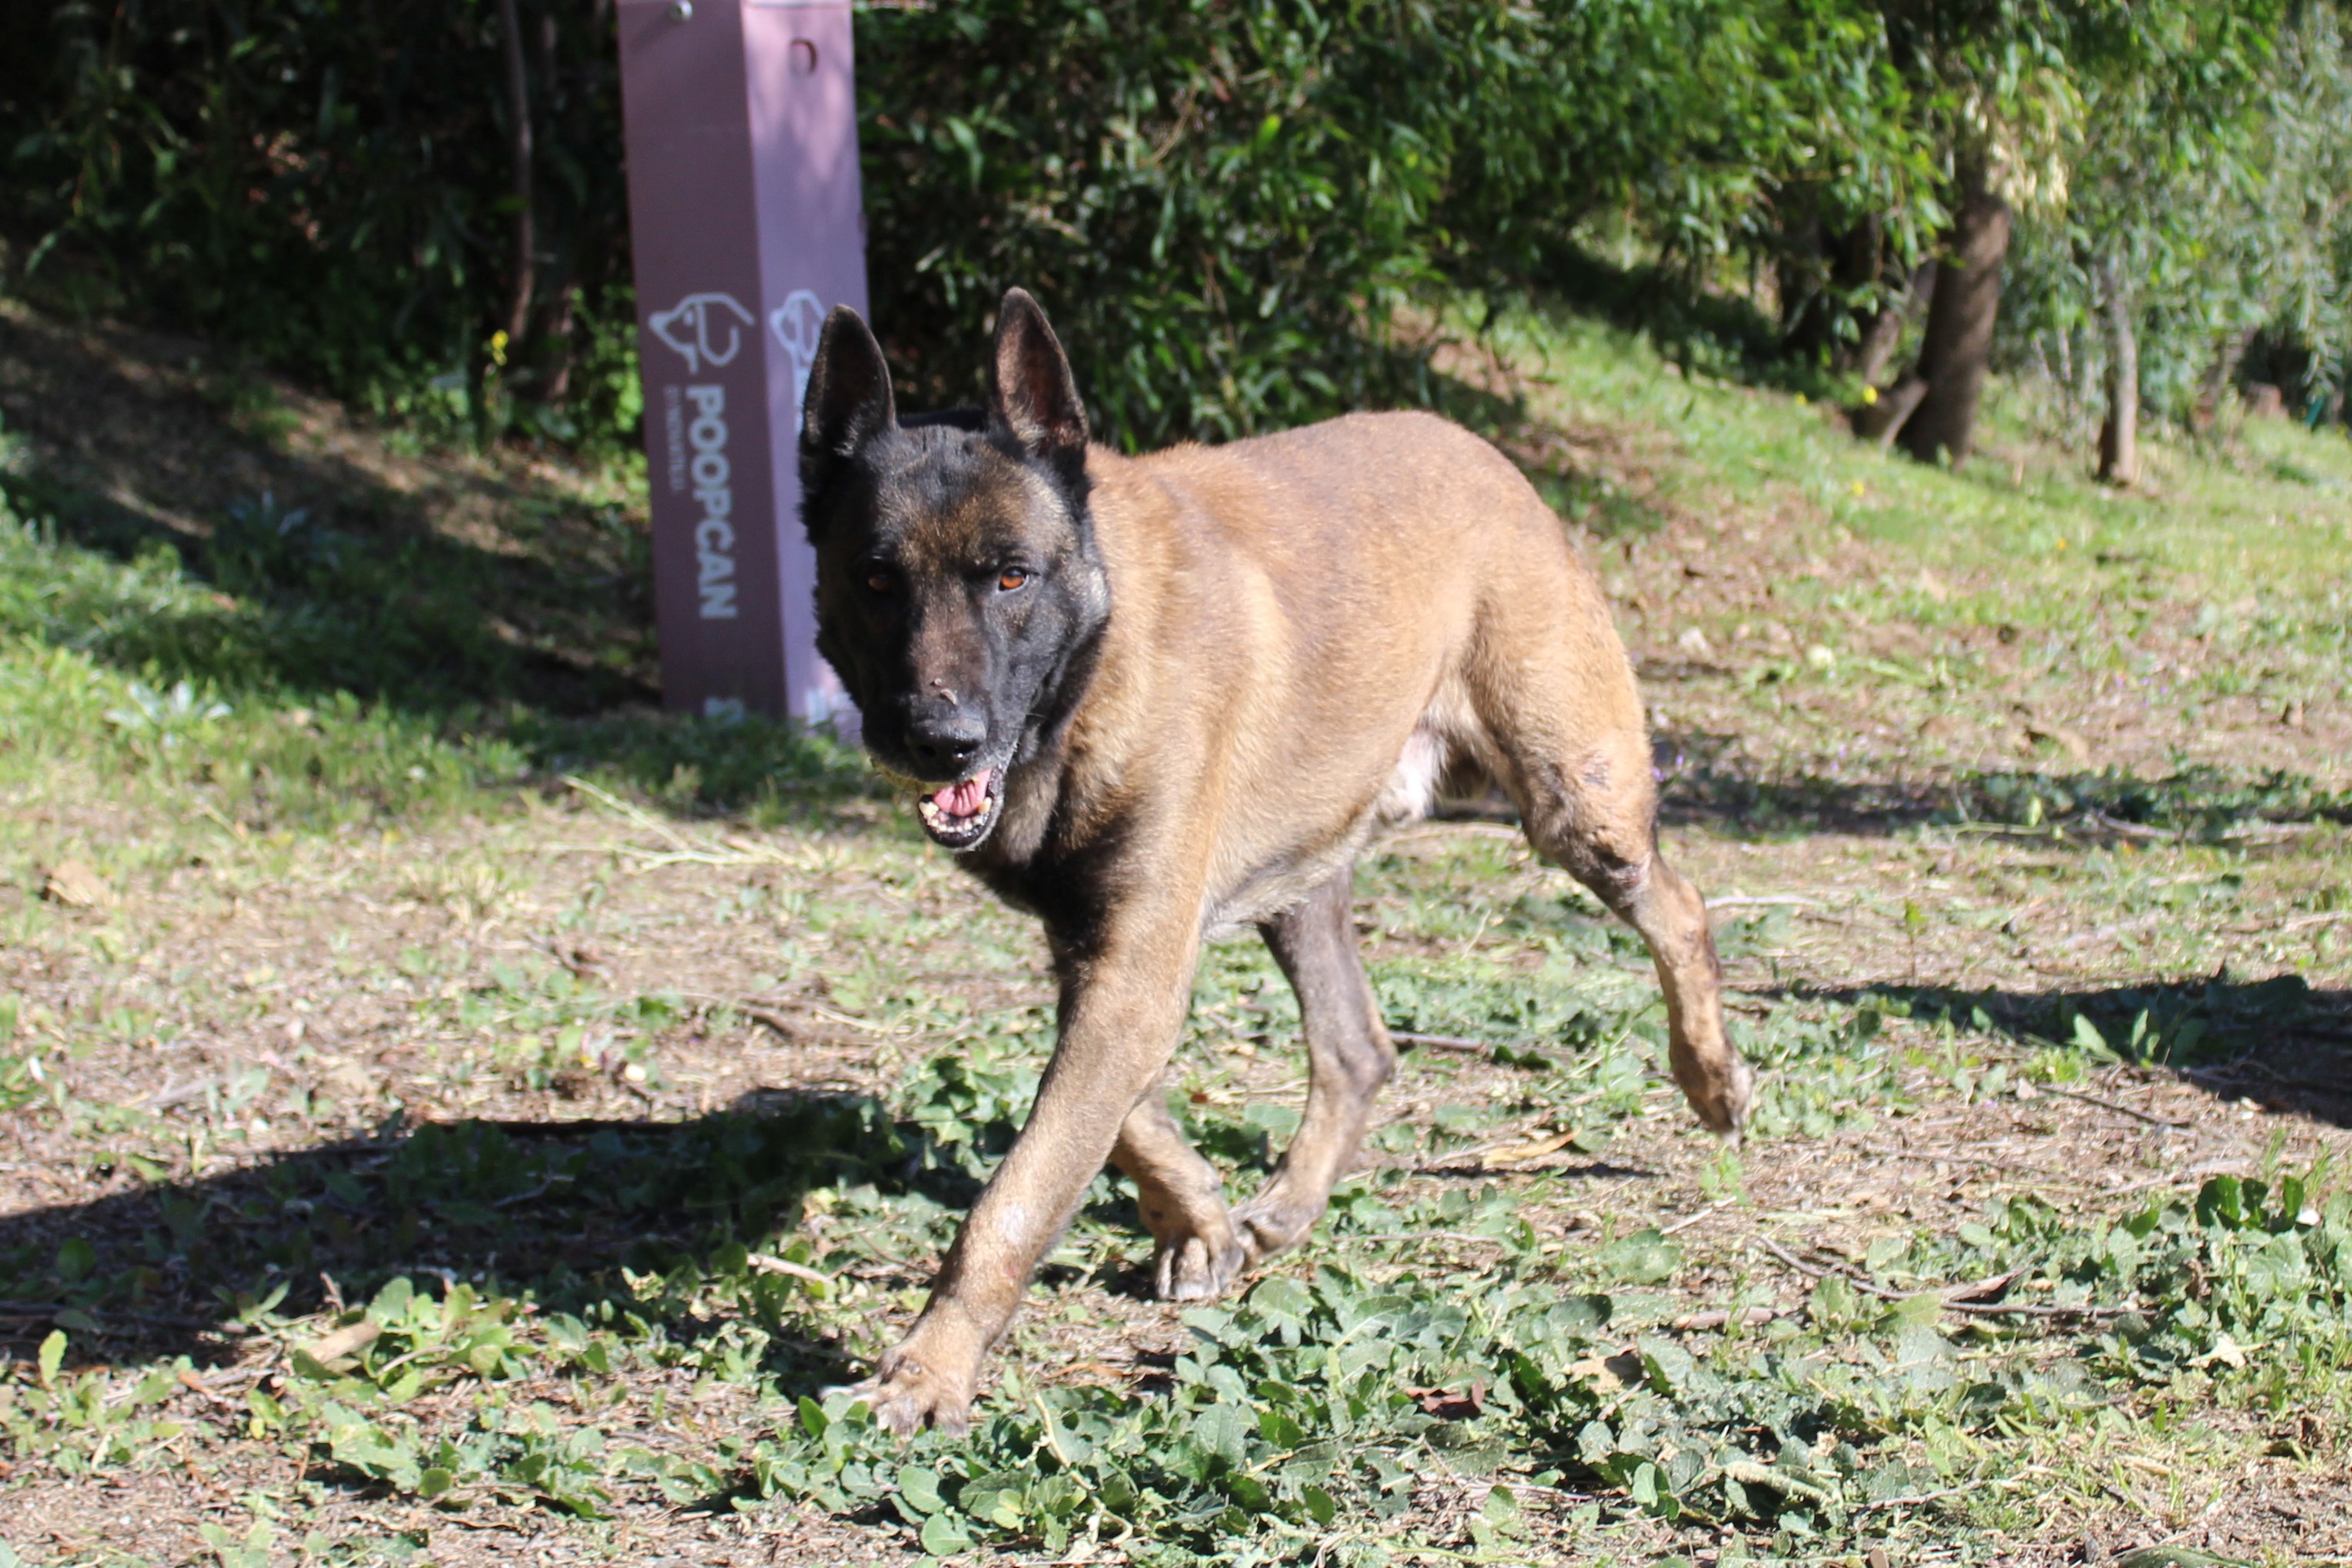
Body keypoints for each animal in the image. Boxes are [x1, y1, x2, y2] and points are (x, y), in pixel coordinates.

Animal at [799, 291, 1759, 1439]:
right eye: (874, 578)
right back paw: (1290, 1208)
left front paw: (931, 1366)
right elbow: (1121, 1118)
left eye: (1010, 575)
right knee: (1357, 1050)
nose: (939, 741)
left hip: (1578, 804)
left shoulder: (1133, 969)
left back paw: (1711, 1079)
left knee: (1681, 907)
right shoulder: (1104, 957)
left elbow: (1018, 1192)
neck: (1091, 664)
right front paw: (1196, 1220)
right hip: (1299, 885)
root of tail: (1484, 453)